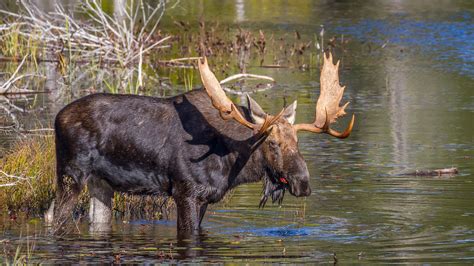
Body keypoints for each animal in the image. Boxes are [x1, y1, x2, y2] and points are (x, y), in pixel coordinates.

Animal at [46, 52, 354, 237]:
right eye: (274, 143)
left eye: (297, 141)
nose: (303, 183)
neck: (232, 166)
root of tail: (57, 117)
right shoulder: (186, 193)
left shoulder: (206, 198)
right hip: (71, 173)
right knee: (55, 216)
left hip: (101, 183)